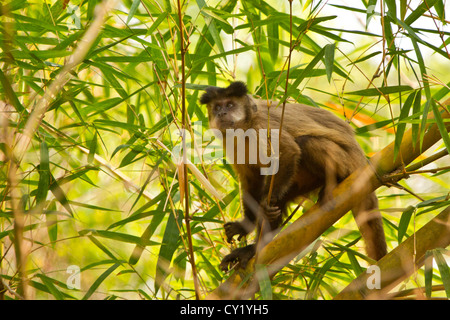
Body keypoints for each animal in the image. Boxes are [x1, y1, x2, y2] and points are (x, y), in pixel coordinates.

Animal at [200, 81, 386, 272]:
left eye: (230, 105)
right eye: (217, 107)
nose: (221, 113)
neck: (245, 127)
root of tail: (362, 161)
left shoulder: (263, 125)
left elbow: (288, 151)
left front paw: (267, 205)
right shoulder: (231, 143)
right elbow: (252, 180)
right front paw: (245, 225)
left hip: (347, 163)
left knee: (306, 142)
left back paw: (333, 183)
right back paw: (255, 250)